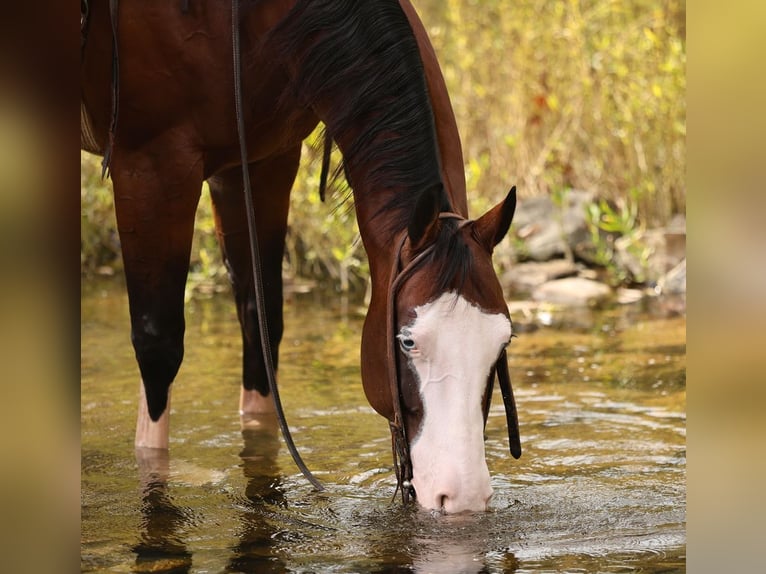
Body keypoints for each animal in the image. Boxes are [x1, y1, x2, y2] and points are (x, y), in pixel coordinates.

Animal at [81, 0, 521, 514]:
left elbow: (262, 331)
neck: (242, 18)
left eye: (502, 344)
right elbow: (158, 348)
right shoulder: (151, 166)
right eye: (407, 341)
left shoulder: (259, 163)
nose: (464, 498)